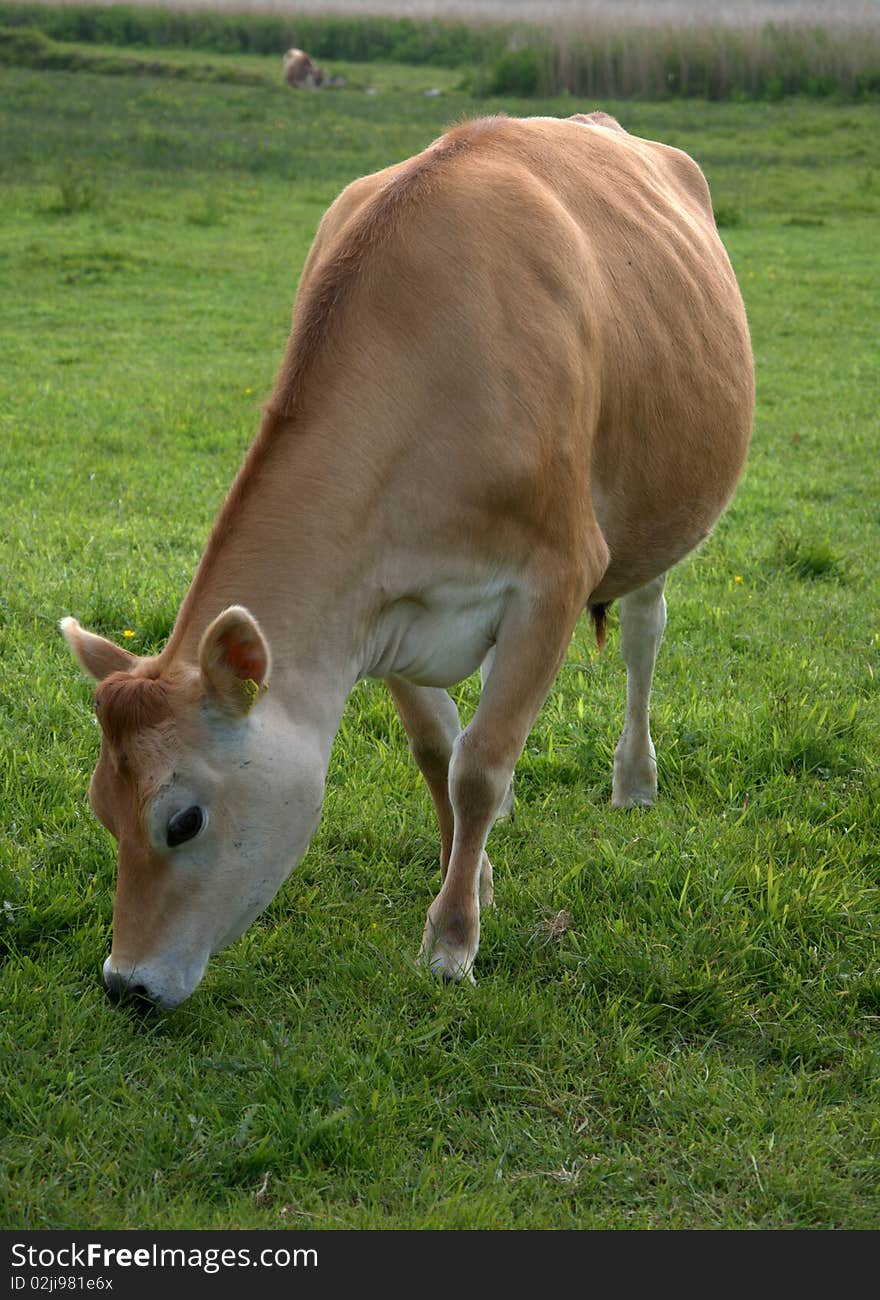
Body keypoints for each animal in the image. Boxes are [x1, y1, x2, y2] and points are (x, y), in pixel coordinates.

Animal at [61, 111, 753, 1008]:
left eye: (182, 819)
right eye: (100, 808)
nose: (125, 983)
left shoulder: (556, 577)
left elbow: (480, 766)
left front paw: (453, 941)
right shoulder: (376, 605)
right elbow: (438, 751)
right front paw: (475, 876)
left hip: (661, 512)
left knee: (643, 635)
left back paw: (634, 781)